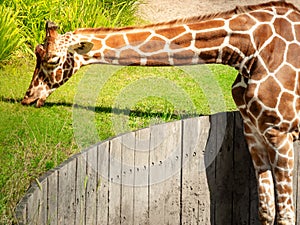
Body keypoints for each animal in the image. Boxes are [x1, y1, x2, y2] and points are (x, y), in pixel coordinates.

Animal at [22, 0, 300, 224]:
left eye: (52, 60)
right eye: (36, 52)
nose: (28, 97)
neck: (248, 49)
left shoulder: (279, 132)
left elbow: (286, 215)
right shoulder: (252, 130)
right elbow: (266, 210)